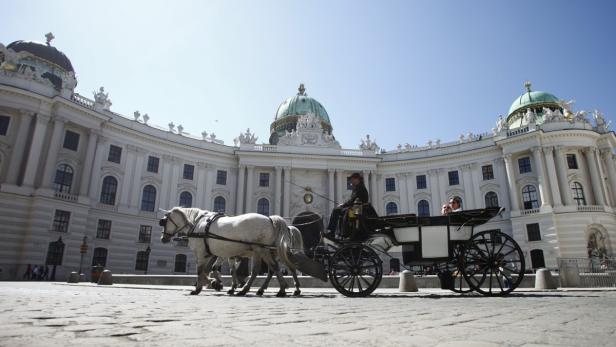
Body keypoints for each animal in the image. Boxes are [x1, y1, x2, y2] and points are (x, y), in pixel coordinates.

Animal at [161, 208, 298, 298]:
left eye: (163, 221)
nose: (163, 238)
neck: (198, 224)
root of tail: (269, 219)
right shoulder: (219, 254)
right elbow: (215, 270)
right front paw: (218, 284)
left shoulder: (202, 253)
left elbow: (201, 271)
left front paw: (200, 287)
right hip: (262, 251)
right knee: (266, 269)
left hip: (261, 249)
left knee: (270, 268)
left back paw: (279, 289)